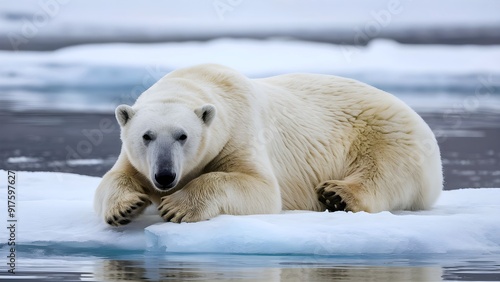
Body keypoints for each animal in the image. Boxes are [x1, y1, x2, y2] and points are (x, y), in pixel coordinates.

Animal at [94, 62, 442, 226]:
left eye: (183, 135)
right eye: (146, 136)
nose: (165, 176)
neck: (202, 81)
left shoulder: (240, 130)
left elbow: (258, 187)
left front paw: (178, 206)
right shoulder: (135, 158)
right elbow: (113, 179)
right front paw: (125, 207)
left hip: (388, 136)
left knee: (385, 172)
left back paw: (337, 194)